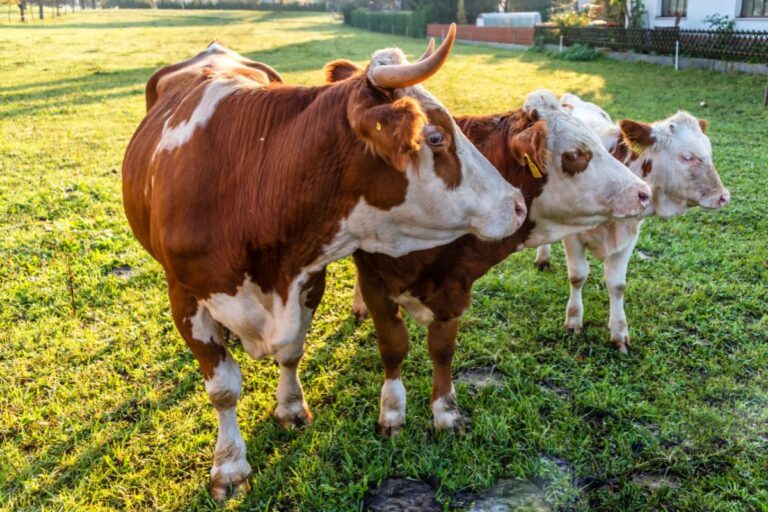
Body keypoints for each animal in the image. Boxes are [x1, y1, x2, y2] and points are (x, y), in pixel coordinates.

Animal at [121, 27, 528, 500]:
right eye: (435, 137)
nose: (517, 204)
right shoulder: (184, 295)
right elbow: (223, 388)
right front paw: (229, 465)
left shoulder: (308, 277)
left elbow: (293, 351)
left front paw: (290, 407)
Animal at [324, 58, 652, 434]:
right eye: (575, 155)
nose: (644, 192)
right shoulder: (377, 282)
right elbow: (393, 346)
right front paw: (392, 412)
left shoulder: (455, 286)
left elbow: (442, 349)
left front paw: (445, 412)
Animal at [533, 93, 730, 353]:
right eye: (688, 157)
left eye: (710, 152)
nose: (723, 196)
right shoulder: (573, 236)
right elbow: (577, 276)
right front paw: (574, 320)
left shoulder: (629, 237)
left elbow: (617, 285)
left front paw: (619, 332)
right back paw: (543, 258)